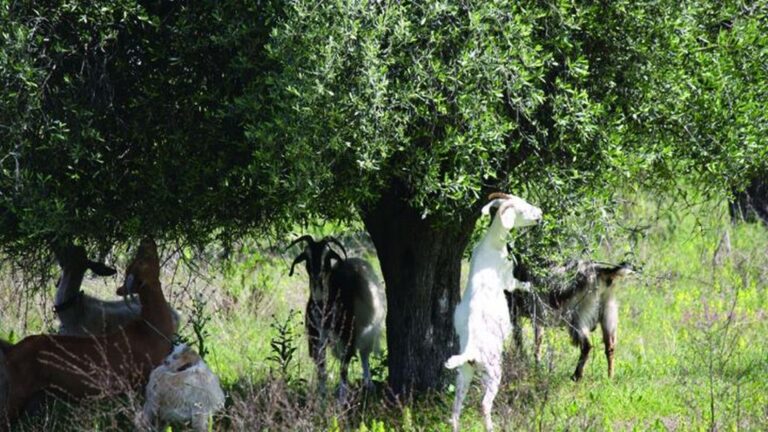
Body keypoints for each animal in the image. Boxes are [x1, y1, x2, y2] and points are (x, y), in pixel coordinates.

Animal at [286, 236, 388, 398]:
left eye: (327, 256)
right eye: (307, 256)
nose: (317, 274)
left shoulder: (347, 337)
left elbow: (343, 368)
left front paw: (342, 397)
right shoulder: (316, 339)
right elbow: (321, 369)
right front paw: (321, 395)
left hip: (369, 329)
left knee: (364, 353)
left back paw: (368, 384)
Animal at [444, 193, 540, 432]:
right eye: (522, 208)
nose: (540, 213)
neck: (492, 244)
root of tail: (470, 351)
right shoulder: (508, 279)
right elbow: (517, 284)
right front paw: (530, 286)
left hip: (464, 374)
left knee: (455, 408)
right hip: (493, 372)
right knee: (484, 404)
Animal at [504, 256, 636, 382]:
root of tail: (600, 271)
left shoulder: (513, 308)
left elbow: (519, 338)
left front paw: (522, 360)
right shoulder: (538, 317)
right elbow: (537, 343)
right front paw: (537, 367)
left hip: (577, 317)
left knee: (587, 346)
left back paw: (577, 376)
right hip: (608, 313)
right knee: (610, 346)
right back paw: (610, 377)